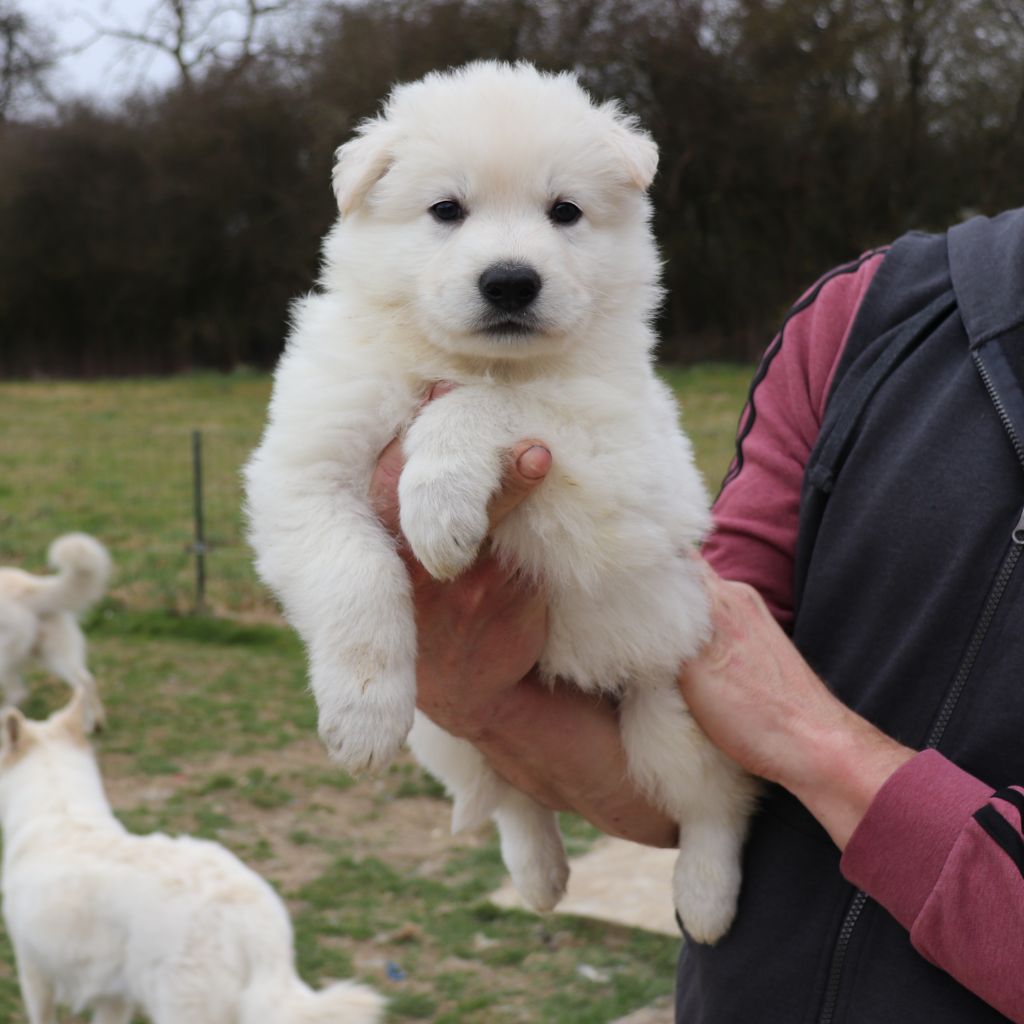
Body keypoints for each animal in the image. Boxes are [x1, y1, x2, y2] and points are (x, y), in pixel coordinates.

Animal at [245, 58, 761, 942]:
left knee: (713, 808)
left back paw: (704, 899)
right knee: (512, 793)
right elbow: (355, 573)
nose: (511, 281)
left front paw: (438, 502)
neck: (455, 356)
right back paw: (540, 875)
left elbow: (490, 402)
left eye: (565, 212)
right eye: (447, 210)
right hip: (450, 728)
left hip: (673, 708)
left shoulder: (622, 457)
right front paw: (360, 717)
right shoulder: (306, 468)